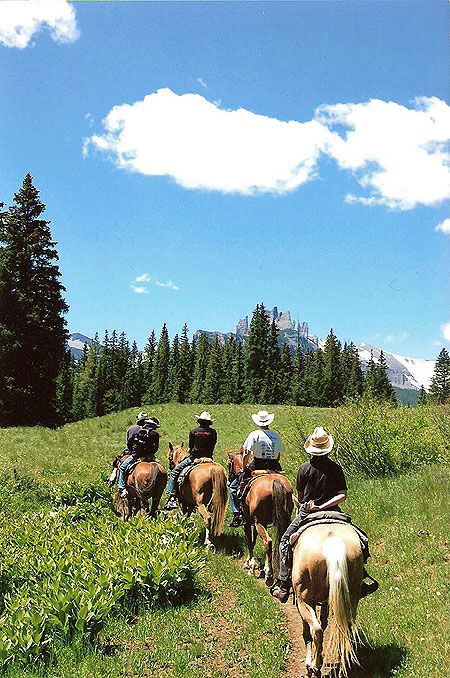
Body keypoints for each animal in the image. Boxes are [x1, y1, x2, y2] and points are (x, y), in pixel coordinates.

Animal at [225, 448, 296, 588]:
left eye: (228, 464)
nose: (229, 481)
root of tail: (275, 481)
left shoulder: (248, 523)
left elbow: (249, 541)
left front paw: (250, 565)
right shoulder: (257, 523)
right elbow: (253, 540)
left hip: (259, 523)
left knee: (268, 542)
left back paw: (268, 574)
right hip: (279, 520)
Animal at [292, 524, 362, 676]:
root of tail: (332, 542)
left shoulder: (302, 601)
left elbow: (307, 632)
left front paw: (309, 664)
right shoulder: (326, 602)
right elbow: (324, 622)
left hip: (303, 601)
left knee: (316, 630)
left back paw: (315, 666)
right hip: (353, 596)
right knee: (346, 629)